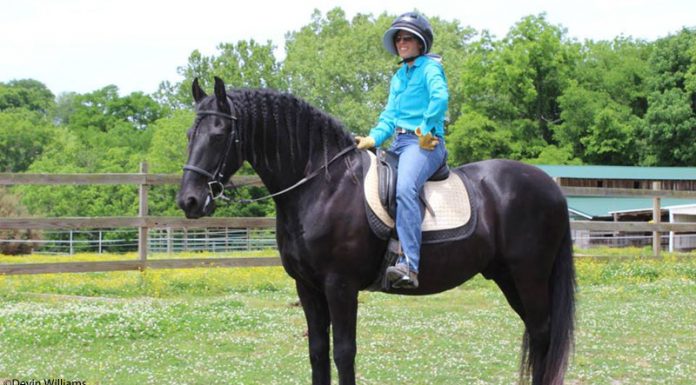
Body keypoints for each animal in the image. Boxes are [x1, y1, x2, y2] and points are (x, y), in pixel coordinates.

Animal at [179, 76, 576, 382]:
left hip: (529, 275)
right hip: (508, 277)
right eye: (189, 134)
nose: (189, 201)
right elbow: (317, 351)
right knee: (537, 335)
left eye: (220, 133)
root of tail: (550, 186)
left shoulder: (340, 286)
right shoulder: (307, 286)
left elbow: (343, 352)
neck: (323, 185)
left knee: (542, 333)